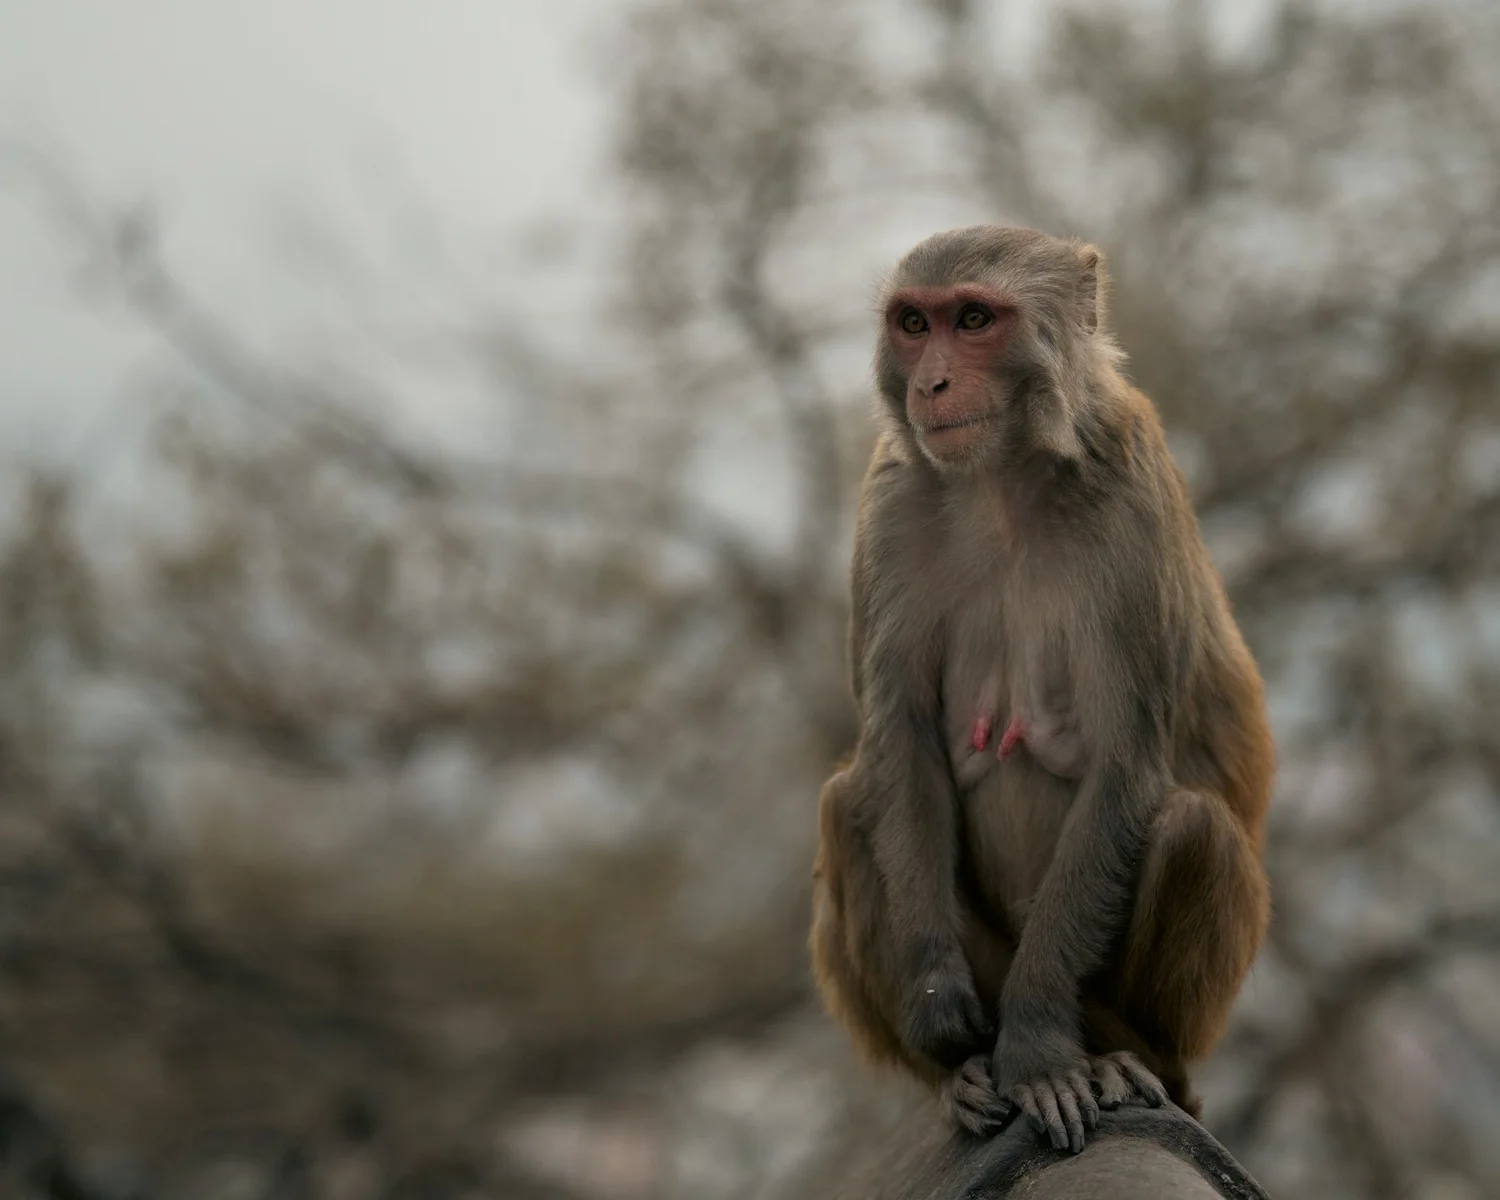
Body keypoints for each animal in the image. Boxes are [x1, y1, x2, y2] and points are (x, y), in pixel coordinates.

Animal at [809, 225, 1273, 1155]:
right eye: (914, 323)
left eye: (974, 320)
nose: (931, 382)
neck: (1000, 478)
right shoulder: (891, 503)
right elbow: (900, 742)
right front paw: (940, 1008)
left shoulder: (1129, 502)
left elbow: (1124, 770)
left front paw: (1037, 1051)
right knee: (849, 803)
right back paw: (958, 1076)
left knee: (1192, 828)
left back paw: (1126, 1059)